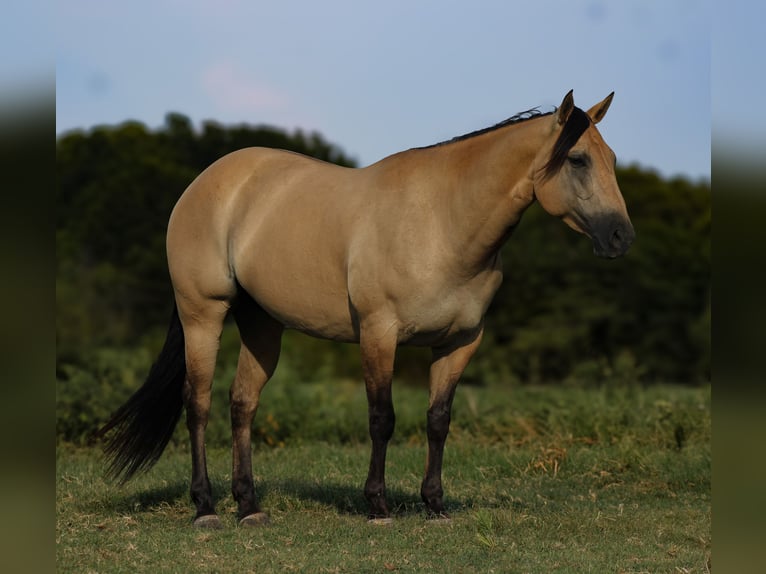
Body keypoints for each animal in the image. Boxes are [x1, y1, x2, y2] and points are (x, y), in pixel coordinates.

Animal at [98, 90, 634, 528]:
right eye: (578, 160)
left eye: (610, 158)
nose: (620, 237)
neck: (443, 222)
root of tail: (204, 183)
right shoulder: (379, 332)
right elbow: (382, 418)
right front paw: (377, 506)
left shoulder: (460, 342)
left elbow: (438, 420)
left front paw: (435, 505)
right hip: (203, 314)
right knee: (199, 403)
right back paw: (205, 508)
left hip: (262, 324)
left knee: (242, 403)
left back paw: (248, 508)